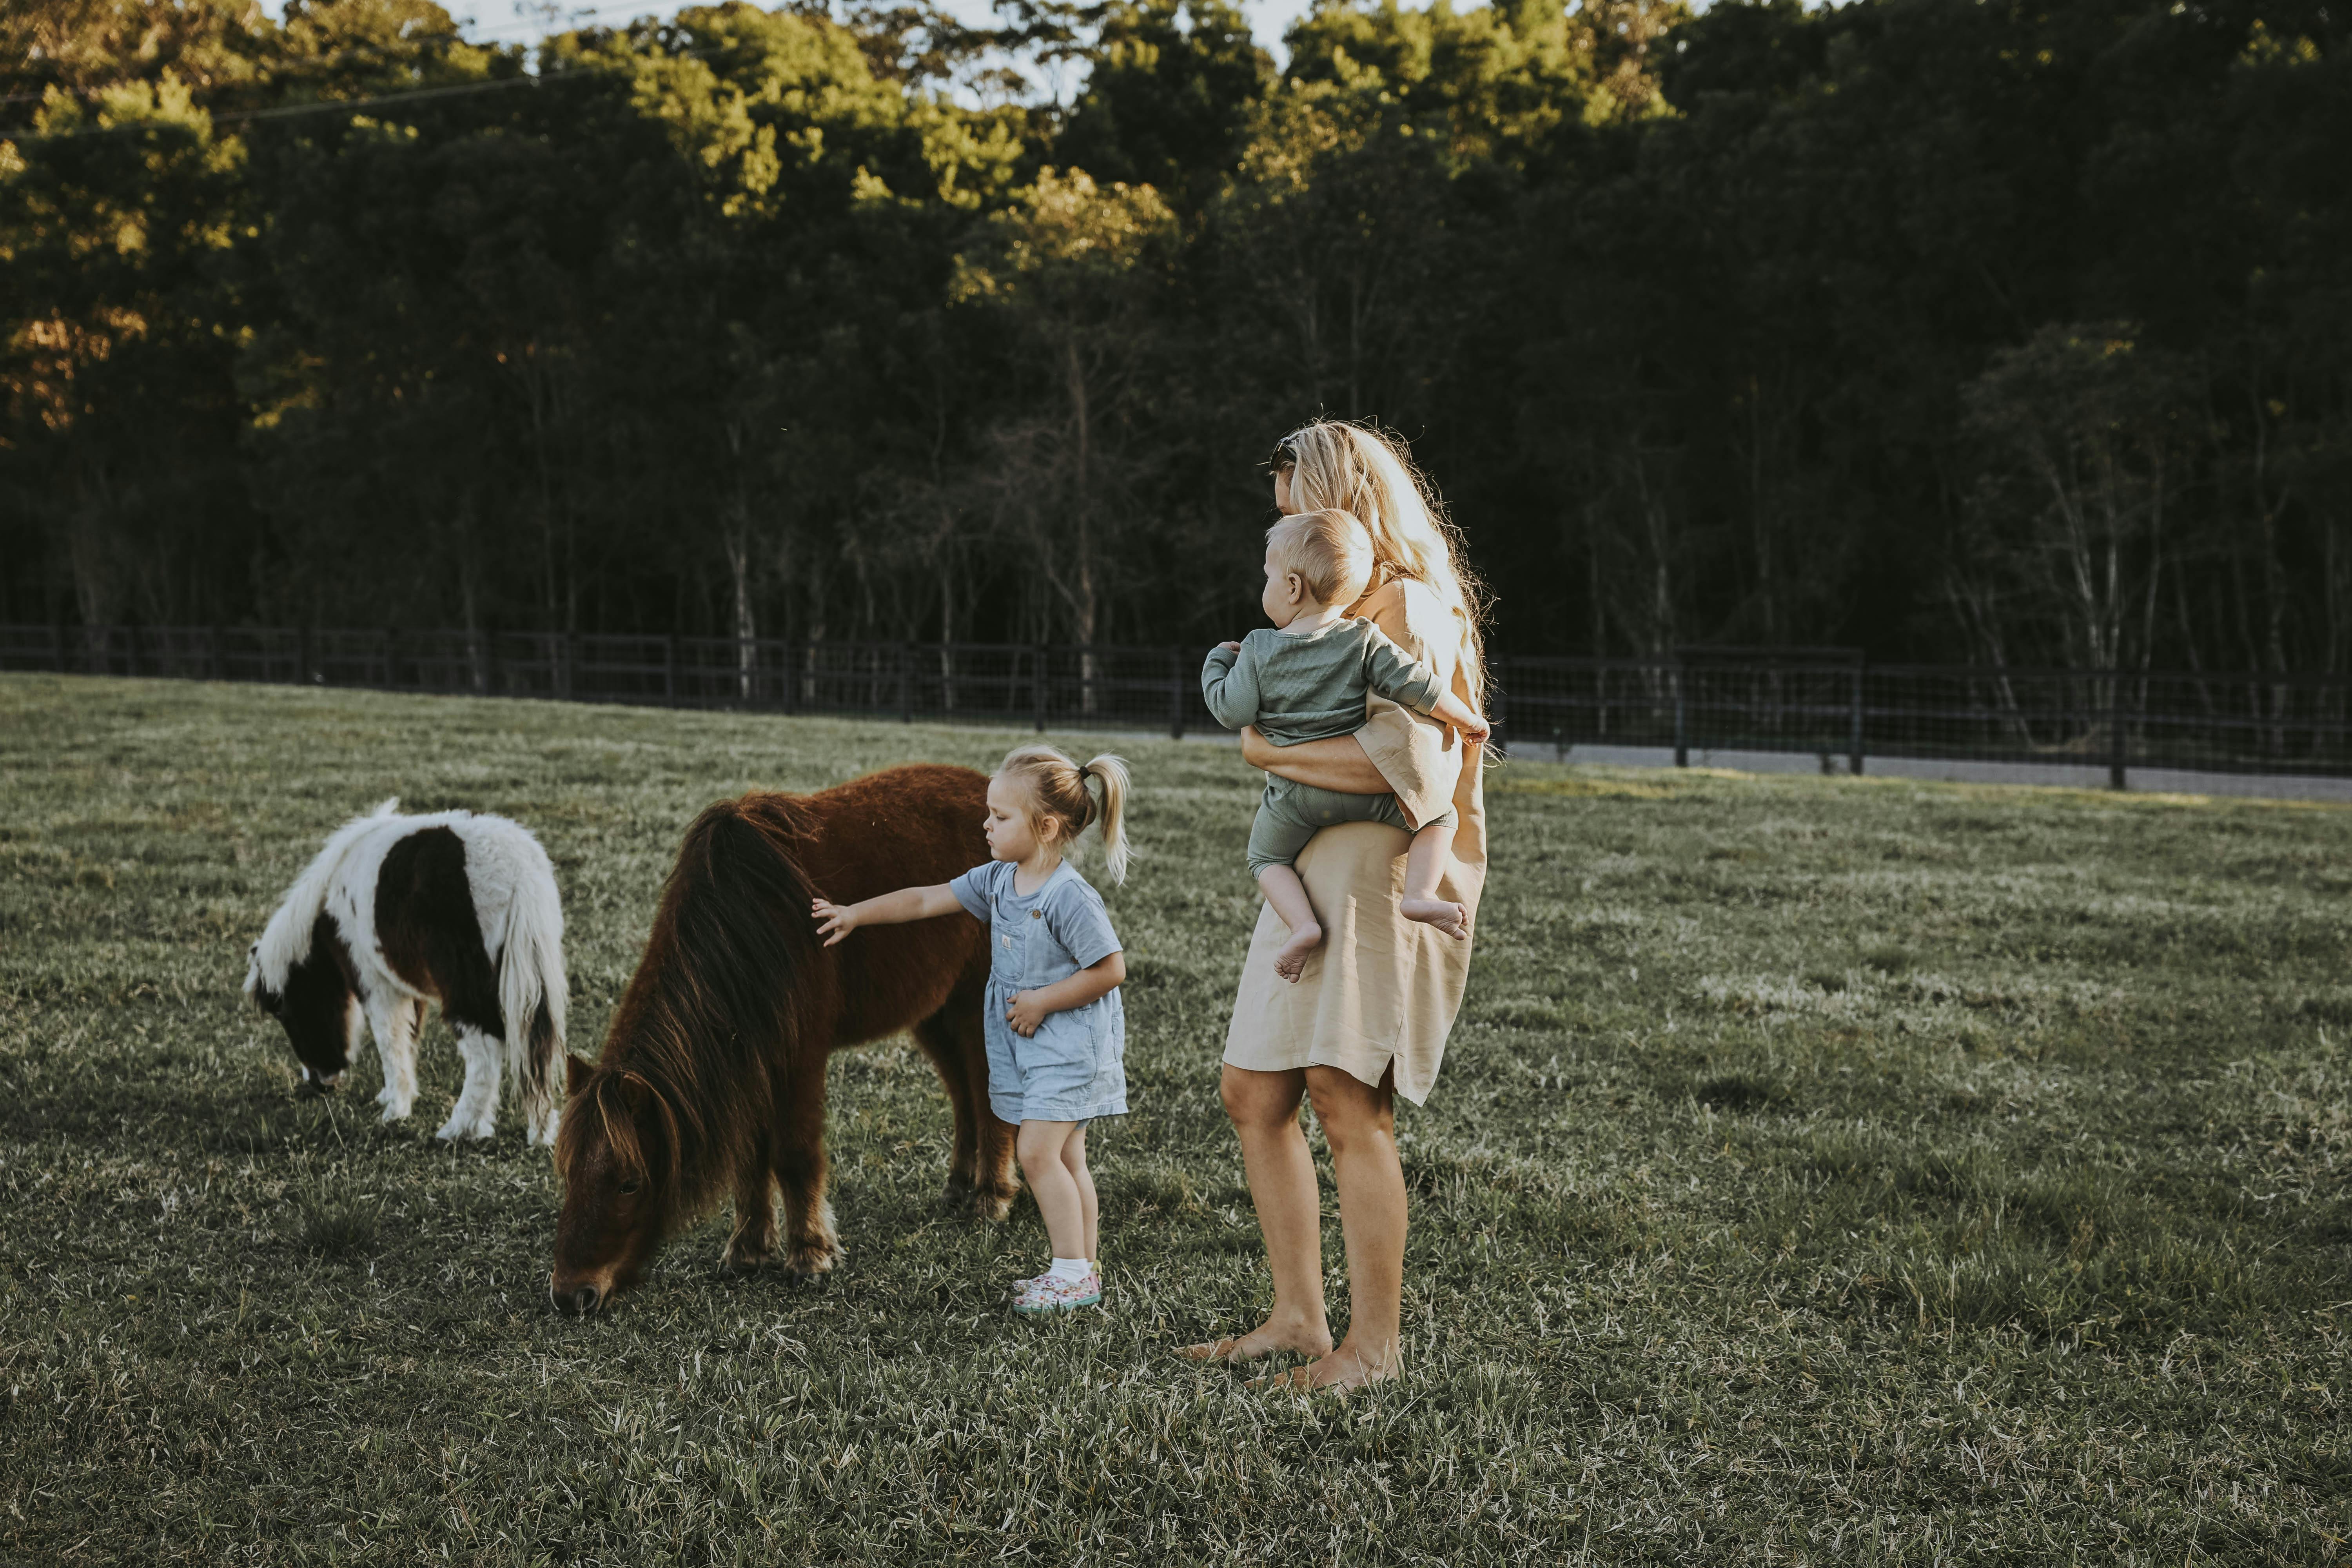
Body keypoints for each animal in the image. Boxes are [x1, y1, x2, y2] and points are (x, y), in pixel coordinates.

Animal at [244, 798, 568, 1145]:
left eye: (284, 1011)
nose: (320, 1082)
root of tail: (518, 873)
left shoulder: (375, 981)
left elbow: (389, 1038)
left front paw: (395, 1111)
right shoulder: (405, 984)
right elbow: (409, 1035)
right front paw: (392, 1097)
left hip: (465, 986)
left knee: (485, 1048)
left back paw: (459, 1129)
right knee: (537, 1051)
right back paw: (542, 1132)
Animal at [548, 764, 1011, 1315]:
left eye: (629, 1183)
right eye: (568, 1173)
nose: (571, 1294)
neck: (748, 924)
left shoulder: (799, 1060)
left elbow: (793, 1155)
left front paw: (810, 1254)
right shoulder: (753, 1062)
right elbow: (751, 1160)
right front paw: (749, 1250)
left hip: (972, 1003)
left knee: (985, 1092)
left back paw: (992, 1195)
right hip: (935, 1013)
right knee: (963, 1093)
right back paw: (960, 1186)